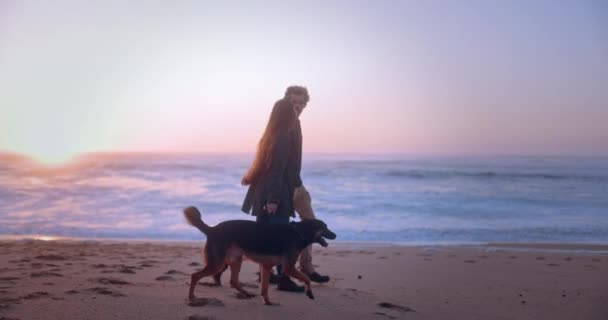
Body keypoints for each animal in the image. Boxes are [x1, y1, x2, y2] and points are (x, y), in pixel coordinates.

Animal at [185, 206, 338, 304]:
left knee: (233, 281)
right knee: (195, 276)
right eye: (324, 227)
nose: (336, 235)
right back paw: (192, 297)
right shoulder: (288, 267)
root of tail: (212, 229)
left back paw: (246, 293)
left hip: (236, 259)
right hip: (217, 263)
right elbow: (306, 278)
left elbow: (264, 288)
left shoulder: (266, 266)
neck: (298, 232)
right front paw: (309, 292)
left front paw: (268, 301)